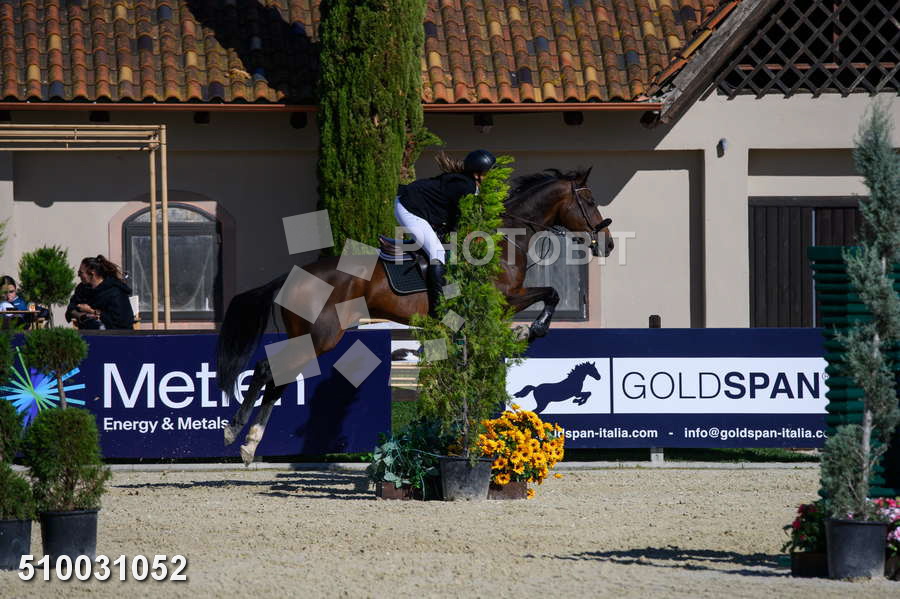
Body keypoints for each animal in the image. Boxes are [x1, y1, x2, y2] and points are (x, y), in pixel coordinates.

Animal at [216, 167, 614, 464]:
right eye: (589, 200)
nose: (608, 243)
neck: (501, 240)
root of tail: (294, 275)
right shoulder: (504, 300)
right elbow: (551, 294)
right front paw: (529, 331)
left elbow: (550, 294)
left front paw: (527, 332)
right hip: (321, 336)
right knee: (271, 372)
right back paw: (240, 436)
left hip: (309, 335)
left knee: (272, 374)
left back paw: (245, 439)